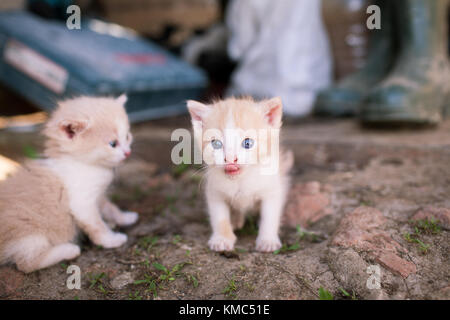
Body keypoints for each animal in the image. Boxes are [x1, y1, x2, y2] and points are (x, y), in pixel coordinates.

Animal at [0, 95, 138, 272]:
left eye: (127, 136)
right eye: (113, 144)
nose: (128, 152)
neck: (85, 164)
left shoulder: (98, 195)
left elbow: (110, 207)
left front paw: (124, 217)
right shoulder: (82, 203)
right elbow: (97, 226)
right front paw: (111, 240)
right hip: (28, 235)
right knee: (26, 263)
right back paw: (69, 250)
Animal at [188, 96, 294, 251]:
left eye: (247, 143)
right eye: (216, 144)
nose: (230, 158)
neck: (239, 180)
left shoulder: (272, 190)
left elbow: (270, 216)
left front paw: (267, 240)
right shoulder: (215, 192)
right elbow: (219, 217)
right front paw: (222, 238)